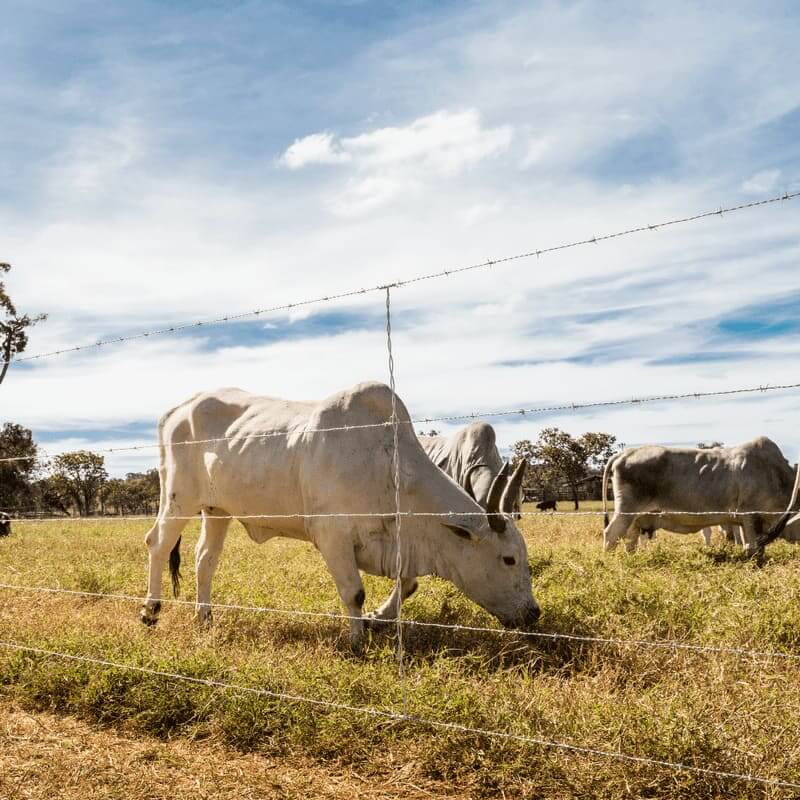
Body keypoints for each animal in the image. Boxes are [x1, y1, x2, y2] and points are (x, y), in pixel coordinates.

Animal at [604, 438, 796, 556]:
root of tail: (625, 453)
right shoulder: (750, 515)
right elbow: (754, 547)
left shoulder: (743, 521)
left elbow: (748, 543)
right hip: (626, 511)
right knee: (611, 534)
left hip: (636, 518)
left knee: (630, 540)